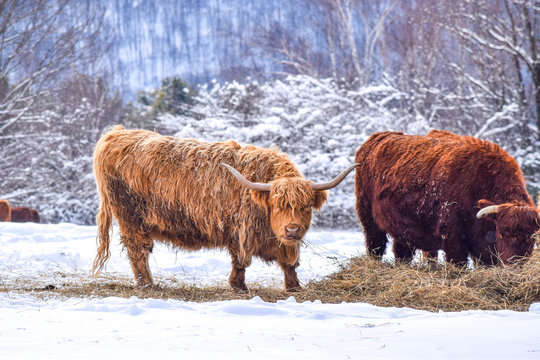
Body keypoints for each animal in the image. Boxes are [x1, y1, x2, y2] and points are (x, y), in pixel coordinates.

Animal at [93, 125, 356, 292]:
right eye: (277, 205)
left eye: (305, 206)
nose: (292, 230)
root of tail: (116, 135)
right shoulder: (241, 231)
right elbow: (240, 261)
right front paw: (239, 286)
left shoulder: (284, 243)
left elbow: (289, 263)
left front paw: (294, 287)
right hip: (130, 216)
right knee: (137, 250)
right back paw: (148, 284)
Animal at [356, 129, 536, 264]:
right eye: (503, 231)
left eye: (532, 236)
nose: (515, 263)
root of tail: (379, 137)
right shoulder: (452, 237)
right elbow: (458, 263)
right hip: (368, 218)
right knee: (376, 246)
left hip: (403, 228)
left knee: (402, 251)